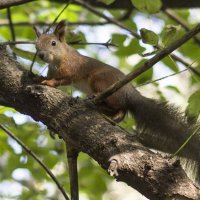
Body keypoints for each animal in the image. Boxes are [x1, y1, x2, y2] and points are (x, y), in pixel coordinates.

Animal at [34, 20, 200, 184]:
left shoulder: (72, 69)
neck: (58, 59)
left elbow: (63, 79)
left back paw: (96, 100)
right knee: (119, 110)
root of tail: (129, 92)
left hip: (100, 81)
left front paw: (49, 83)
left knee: (121, 108)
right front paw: (39, 77)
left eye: (53, 43)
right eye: (36, 45)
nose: (41, 55)